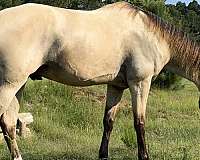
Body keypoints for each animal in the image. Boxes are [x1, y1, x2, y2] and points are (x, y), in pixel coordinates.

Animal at [0, 1, 198, 160]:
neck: (150, 35)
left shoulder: (116, 86)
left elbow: (108, 121)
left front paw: (103, 155)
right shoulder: (140, 83)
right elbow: (139, 122)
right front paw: (144, 156)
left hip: (18, 85)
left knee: (9, 123)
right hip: (9, 85)